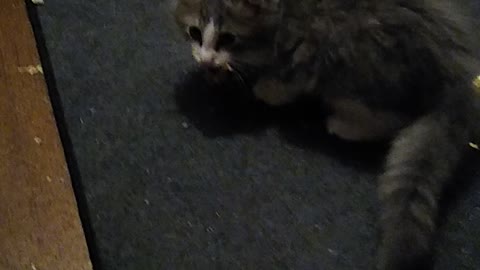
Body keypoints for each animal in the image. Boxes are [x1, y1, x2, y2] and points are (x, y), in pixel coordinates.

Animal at [172, 0, 476, 268]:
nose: (206, 59)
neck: (280, 14)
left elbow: (291, 80)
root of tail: (456, 70)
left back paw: (345, 125)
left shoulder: (307, 48)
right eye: (195, 32)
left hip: (356, 62)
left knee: (391, 117)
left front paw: (269, 89)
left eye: (228, 38)